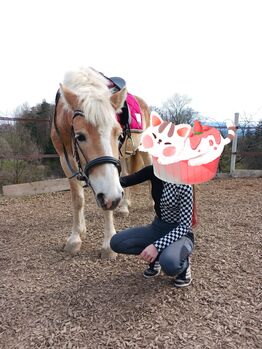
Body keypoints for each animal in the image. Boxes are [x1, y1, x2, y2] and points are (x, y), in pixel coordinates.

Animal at [50, 67, 151, 258]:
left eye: (119, 134)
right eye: (80, 136)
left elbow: (106, 200)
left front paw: (108, 244)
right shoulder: (65, 160)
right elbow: (78, 199)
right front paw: (76, 236)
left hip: (144, 149)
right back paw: (124, 207)